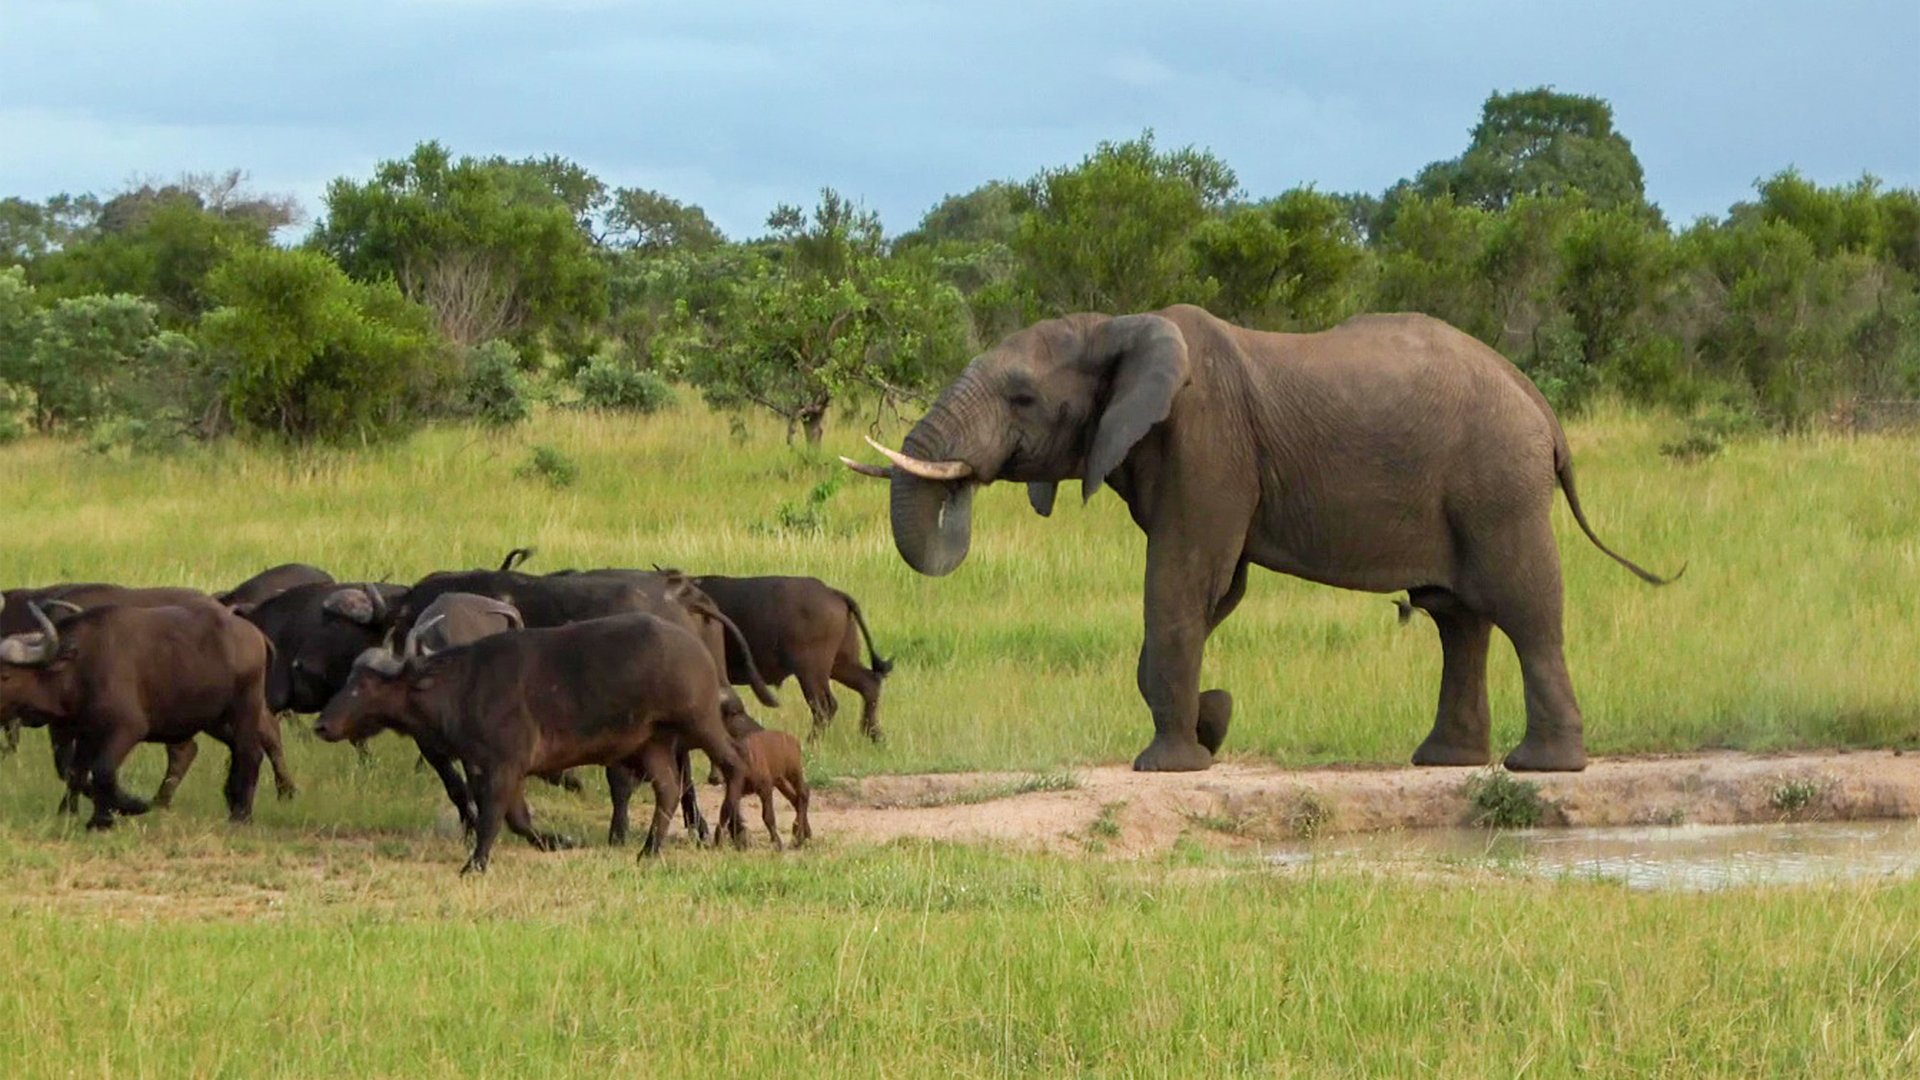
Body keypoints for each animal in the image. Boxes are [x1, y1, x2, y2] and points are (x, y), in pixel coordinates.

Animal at [844, 305, 1676, 773]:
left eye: (1021, 397)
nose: (967, 485)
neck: (1115, 324)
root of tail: (1541, 405)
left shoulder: (1208, 442)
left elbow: (1184, 579)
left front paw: (1169, 764)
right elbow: (1219, 590)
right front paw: (1211, 721)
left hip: (1497, 482)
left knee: (1524, 611)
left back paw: (1542, 769)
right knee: (1458, 620)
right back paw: (1445, 760)